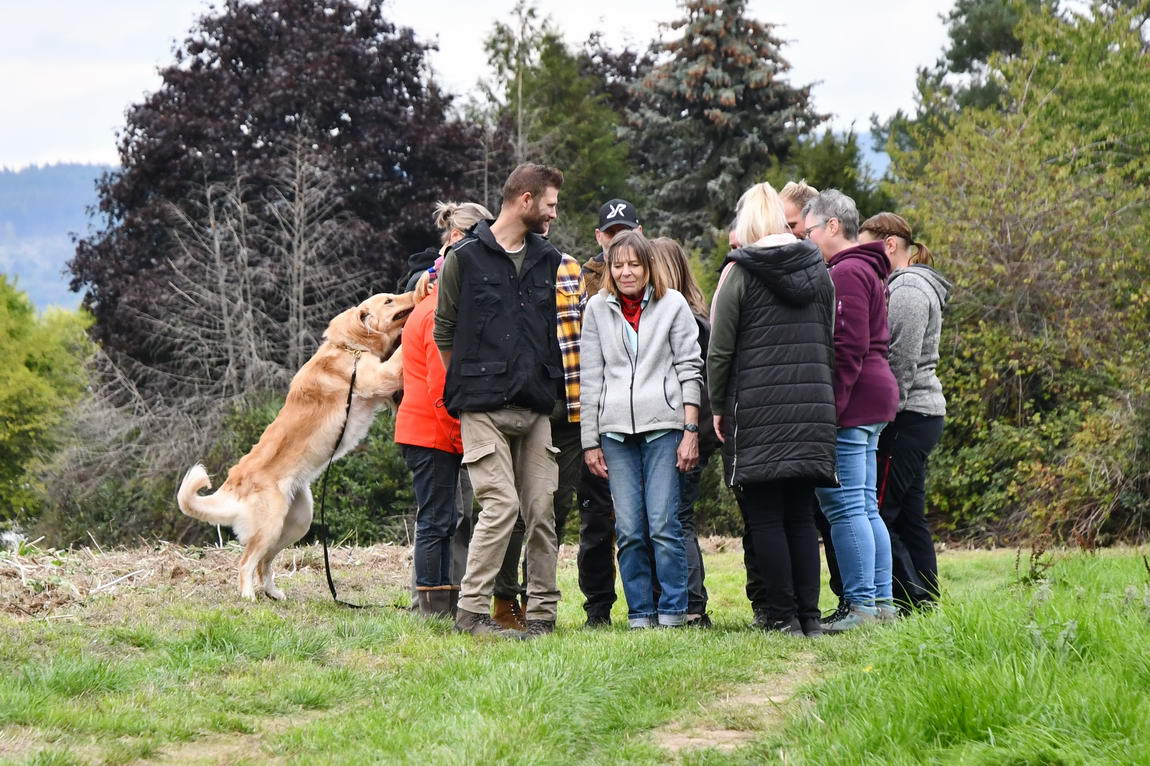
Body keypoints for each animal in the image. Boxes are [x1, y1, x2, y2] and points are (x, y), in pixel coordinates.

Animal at [174, 289, 418, 598]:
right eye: (388, 300)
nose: (410, 292)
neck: (348, 348)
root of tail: (232, 487)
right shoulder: (377, 379)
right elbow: (397, 357)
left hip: (295, 523)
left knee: (264, 562)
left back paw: (272, 593)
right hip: (270, 526)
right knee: (246, 562)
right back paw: (248, 595)